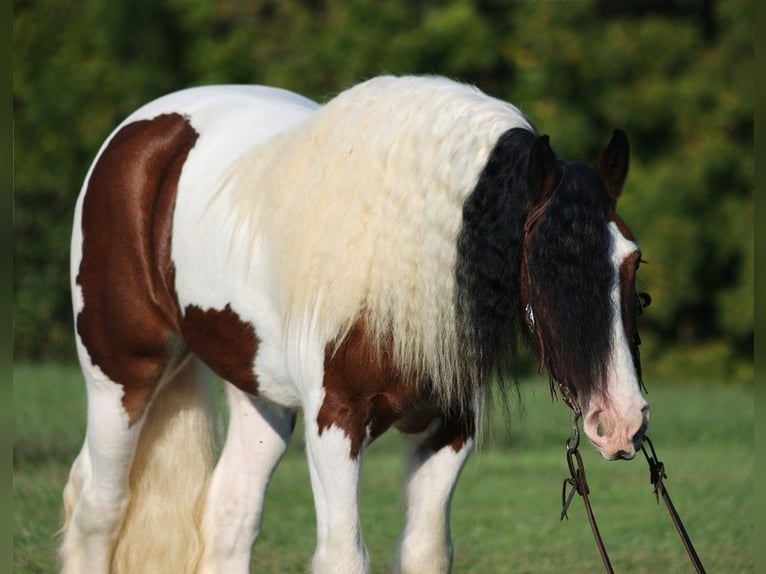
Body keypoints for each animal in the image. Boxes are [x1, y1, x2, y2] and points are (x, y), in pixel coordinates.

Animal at [60, 75, 652, 574]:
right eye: (546, 267)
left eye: (633, 261)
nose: (623, 422)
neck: (400, 272)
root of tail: (144, 131)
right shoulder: (335, 424)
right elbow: (344, 555)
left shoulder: (450, 428)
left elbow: (424, 550)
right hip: (120, 375)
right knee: (99, 508)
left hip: (260, 398)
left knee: (230, 514)